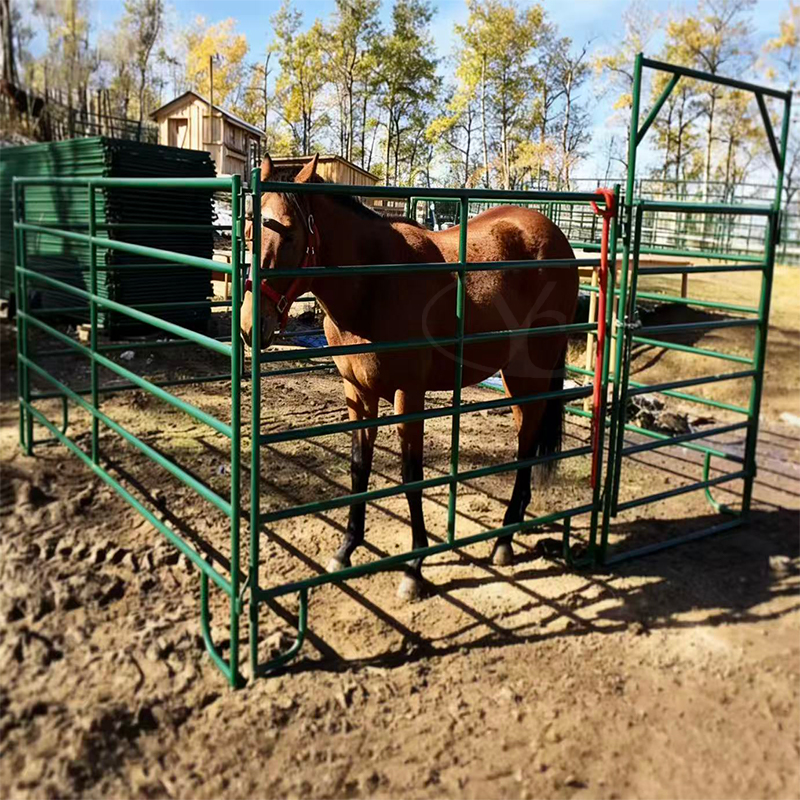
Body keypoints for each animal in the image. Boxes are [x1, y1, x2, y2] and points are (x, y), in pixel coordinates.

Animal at [241, 154, 578, 601]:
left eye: (291, 234)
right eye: (248, 231)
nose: (250, 326)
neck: (374, 281)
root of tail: (555, 237)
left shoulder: (409, 396)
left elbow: (410, 476)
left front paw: (414, 568)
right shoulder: (358, 393)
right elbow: (359, 467)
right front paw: (346, 548)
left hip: (530, 372)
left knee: (526, 444)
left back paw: (504, 540)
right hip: (514, 374)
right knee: (528, 433)